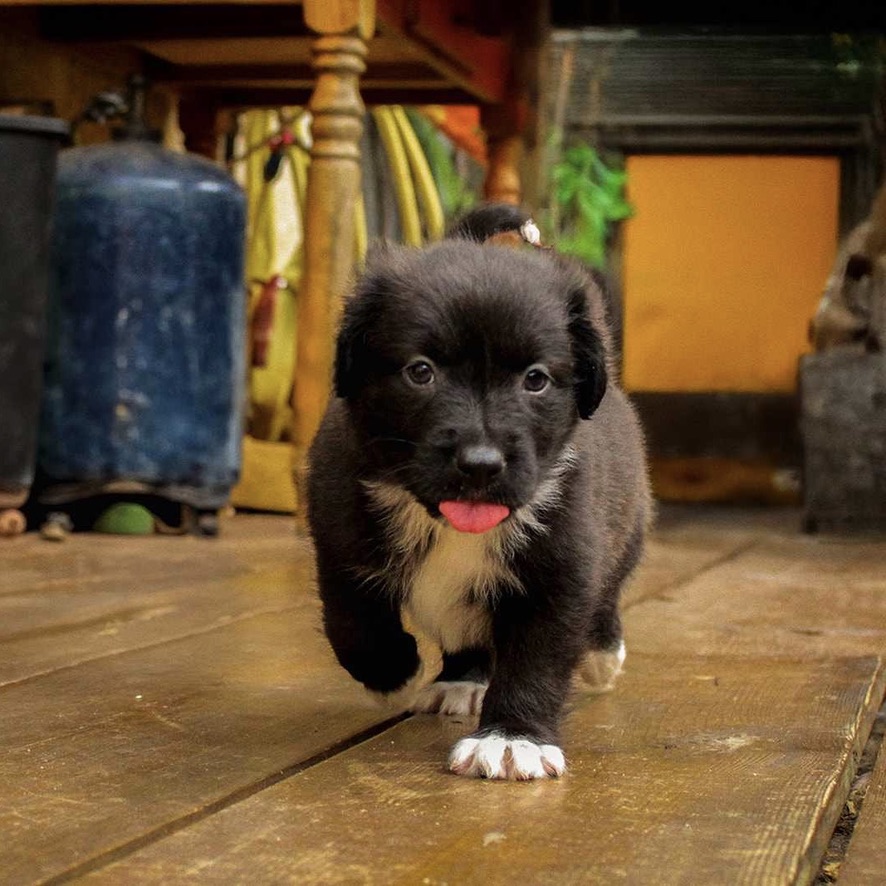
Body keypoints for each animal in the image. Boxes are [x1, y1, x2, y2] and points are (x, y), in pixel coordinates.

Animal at [306, 205, 652, 780]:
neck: (444, 524)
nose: (481, 465)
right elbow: (351, 619)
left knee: (608, 590)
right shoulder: (339, 535)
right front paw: (392, 673)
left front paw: (513, 738)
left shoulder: (561, 566)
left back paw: (602, 653)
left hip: (628, 526)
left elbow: (536, 658)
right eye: (420, 371)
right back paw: (461, 679)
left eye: (535, 379)